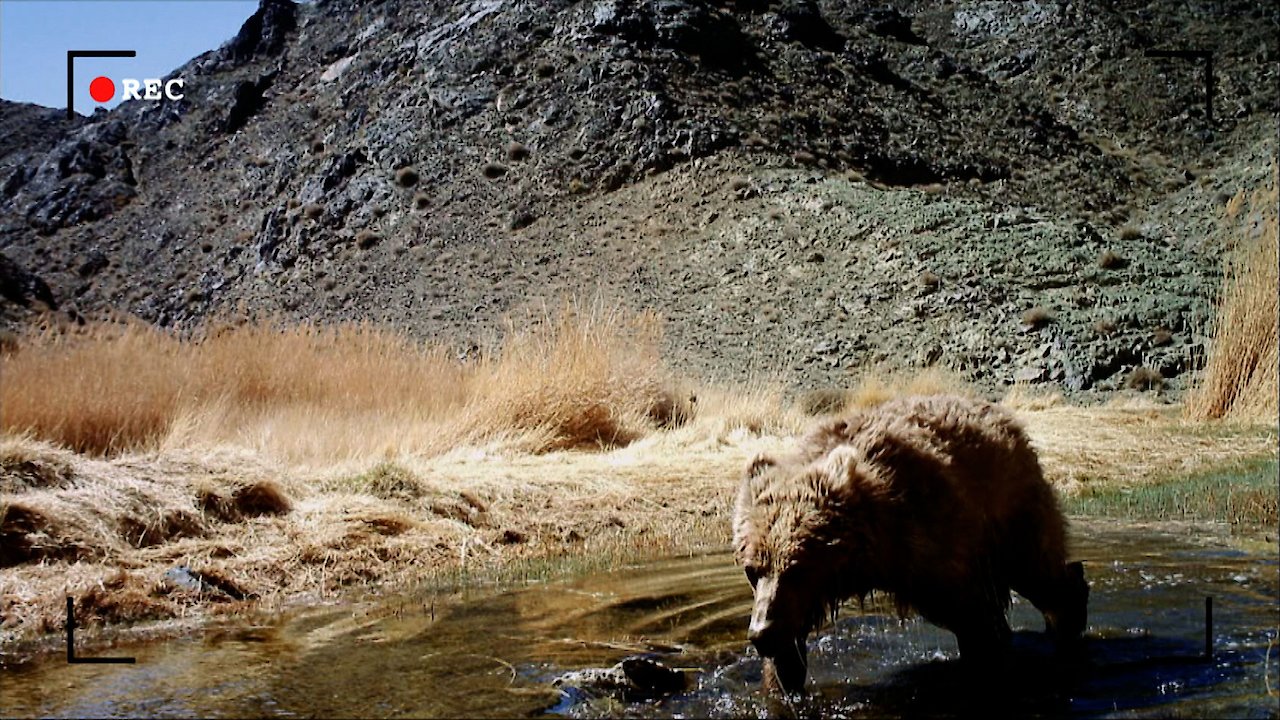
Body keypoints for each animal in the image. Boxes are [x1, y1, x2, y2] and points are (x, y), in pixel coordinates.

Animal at [732, 394, 1088, 693]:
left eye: (797, 568)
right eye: (752, 570)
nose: (760, 634)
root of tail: (1003, 416)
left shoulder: (931, 537)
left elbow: (975, 617)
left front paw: (989, 663)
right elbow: (788, 651)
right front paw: (783, 682)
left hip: (1010, 507)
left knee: (1037, 570)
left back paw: (1068, 615)